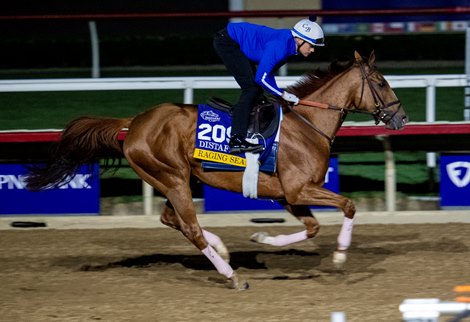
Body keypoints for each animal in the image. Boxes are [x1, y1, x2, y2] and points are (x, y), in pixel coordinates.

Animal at [25, 52, 408, 290]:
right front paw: (341, 255)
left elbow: (312, 228)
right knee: (190, 227)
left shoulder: (289, 195)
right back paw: (231, 275)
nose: (401, 118)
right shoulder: (299, 189)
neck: (307, 124)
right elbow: (349, 205)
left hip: (174, 179)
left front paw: (263, 239)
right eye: (381, 82)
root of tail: (135, 122)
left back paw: (222, 249)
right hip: (173, 178)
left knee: (173, 220)